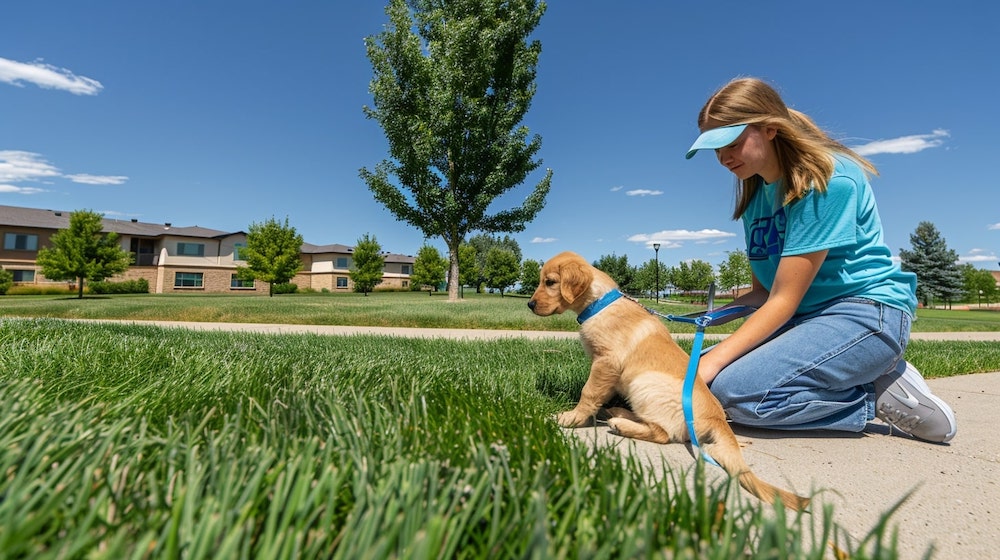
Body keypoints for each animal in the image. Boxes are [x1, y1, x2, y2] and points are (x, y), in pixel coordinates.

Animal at [528, 252, 808, 510]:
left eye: (550, 282)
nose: (530, 305)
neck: (599, 304)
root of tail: (716, 417)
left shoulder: (606, 362)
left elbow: (589, 392)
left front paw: (573, 418)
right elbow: (600, 393)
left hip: (645, 382)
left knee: (663, 433)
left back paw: (621, 423)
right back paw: (618, 413)